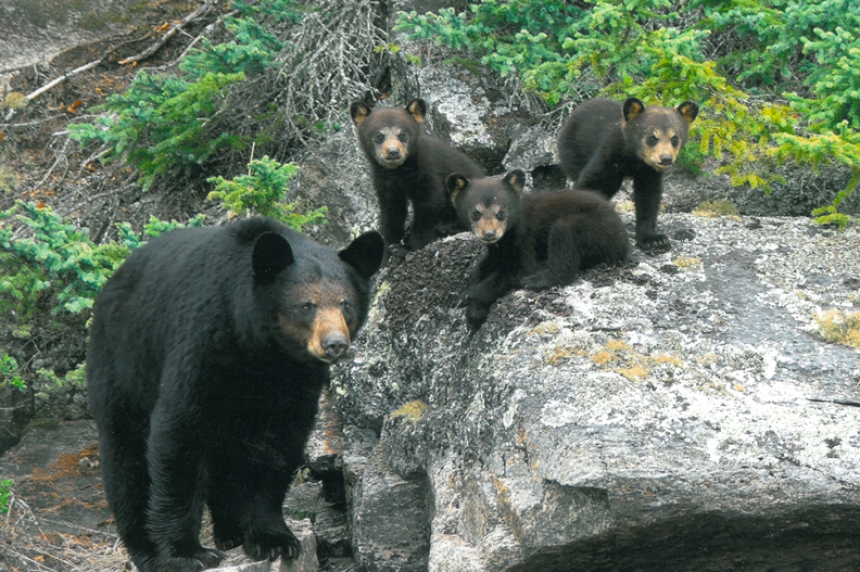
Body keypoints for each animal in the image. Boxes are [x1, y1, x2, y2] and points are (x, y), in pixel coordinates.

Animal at [86, 217, 384, 572]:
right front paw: (188, 552)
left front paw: (273, 540)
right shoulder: (202, 343)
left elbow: (277, 446)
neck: (261, 350)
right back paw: (146, 550)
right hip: (123, 362)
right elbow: (178, 433)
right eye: (306, 306)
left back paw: (230, 532)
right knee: (127, 460)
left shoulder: (296, 379)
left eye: (346, 304)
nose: (335, 344)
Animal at [350, 98, 484, 260]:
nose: (393, 152)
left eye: (402, 135)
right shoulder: (384, 182)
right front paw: (389, 249)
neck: (399, 171)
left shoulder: (428, 170)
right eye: (379, 136)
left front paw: (411, 246)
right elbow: (391, 212)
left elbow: (430, 204)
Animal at [447, 170, 629, 330]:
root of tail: (624, 237)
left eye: (501, 213)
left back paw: (537, 280)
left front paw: (470, 296)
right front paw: (469, 294)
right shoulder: (499, 248)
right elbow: (485, 264)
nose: (489, 234)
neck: (511, 230)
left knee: (564, 231)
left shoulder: (526, 236)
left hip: (599, 232)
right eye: (476, 213)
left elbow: (518, 269)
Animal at [556, 97, 699, 252]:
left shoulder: (649, 172)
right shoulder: (609, 155)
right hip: (573, 151)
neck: (633, 158)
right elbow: (593, 183)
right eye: (652, 138)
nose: (666, 158)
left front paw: (654, 240)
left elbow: (649, 198)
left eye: (674, 138)